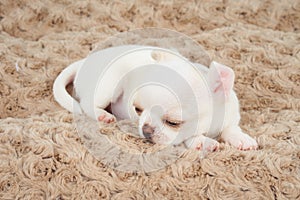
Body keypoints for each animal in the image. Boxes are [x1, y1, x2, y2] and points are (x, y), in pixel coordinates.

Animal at [53, 45, 258, 152]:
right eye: (138, 109)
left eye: (173, 122)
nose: (146, 129)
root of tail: (84, 62)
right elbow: (191, 137)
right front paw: (203, 142)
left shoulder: (231, 115)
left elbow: (231, 128)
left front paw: (242, 138)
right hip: (108, 84)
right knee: (87, 103)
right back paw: (102, 115)